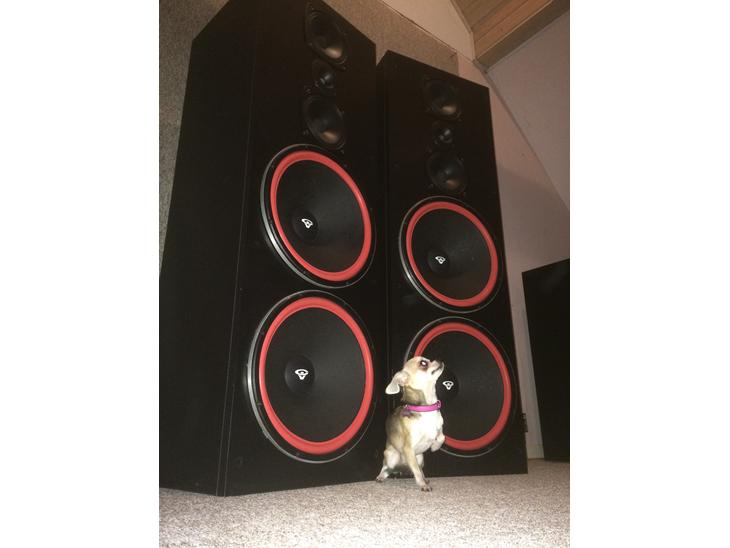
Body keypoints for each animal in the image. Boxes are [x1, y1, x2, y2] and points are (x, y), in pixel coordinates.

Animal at [375, 356, 445, 491]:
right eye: (423, 363)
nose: (439, 360)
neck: (426, 409)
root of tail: (402, 466)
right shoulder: (408, 449)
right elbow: (416, 472)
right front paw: (422, 485)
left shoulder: (438, 430)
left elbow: (441, 437)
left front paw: (435, 446)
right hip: (391, 455)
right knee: (386, 467)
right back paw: (380, 476)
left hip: (420, 457)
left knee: (418, 468)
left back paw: (425, 478)